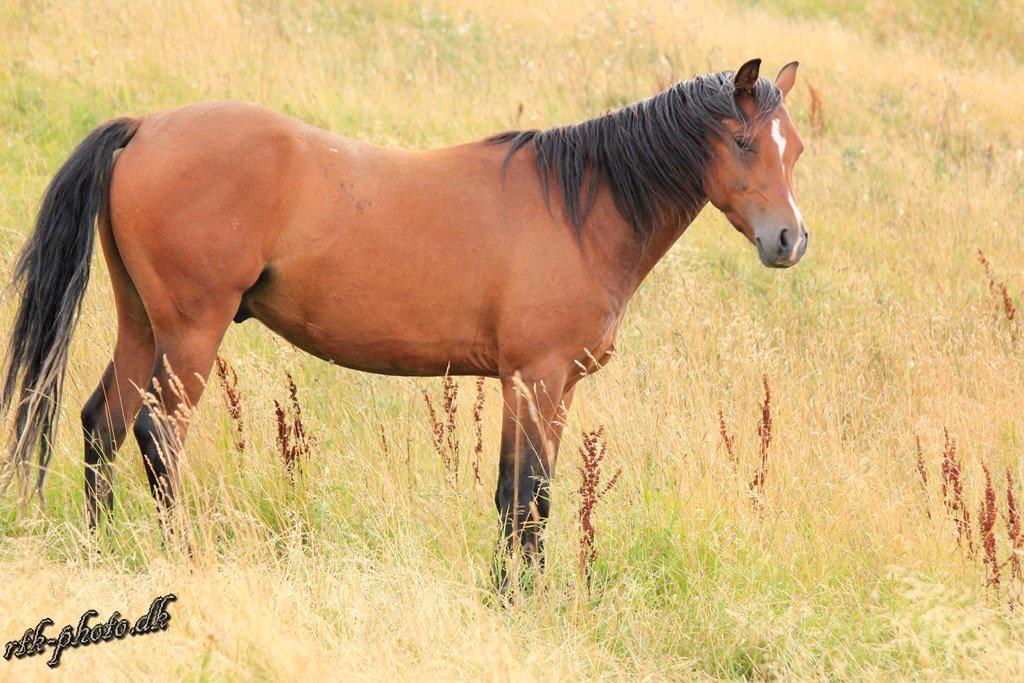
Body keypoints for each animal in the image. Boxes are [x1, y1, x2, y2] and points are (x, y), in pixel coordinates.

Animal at [1, 58, 806, 589]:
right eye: (743, 143)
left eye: (793, 148)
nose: (789, 240)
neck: (578, 209)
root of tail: (144, 129)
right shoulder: (537, 380)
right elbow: (528, 498)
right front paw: (520, 602)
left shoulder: (542, 386)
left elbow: (520, 497)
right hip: (191, 333)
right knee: (157, 435)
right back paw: (184, 558)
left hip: (143, 325)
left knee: (101, 425)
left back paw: (102, 551)